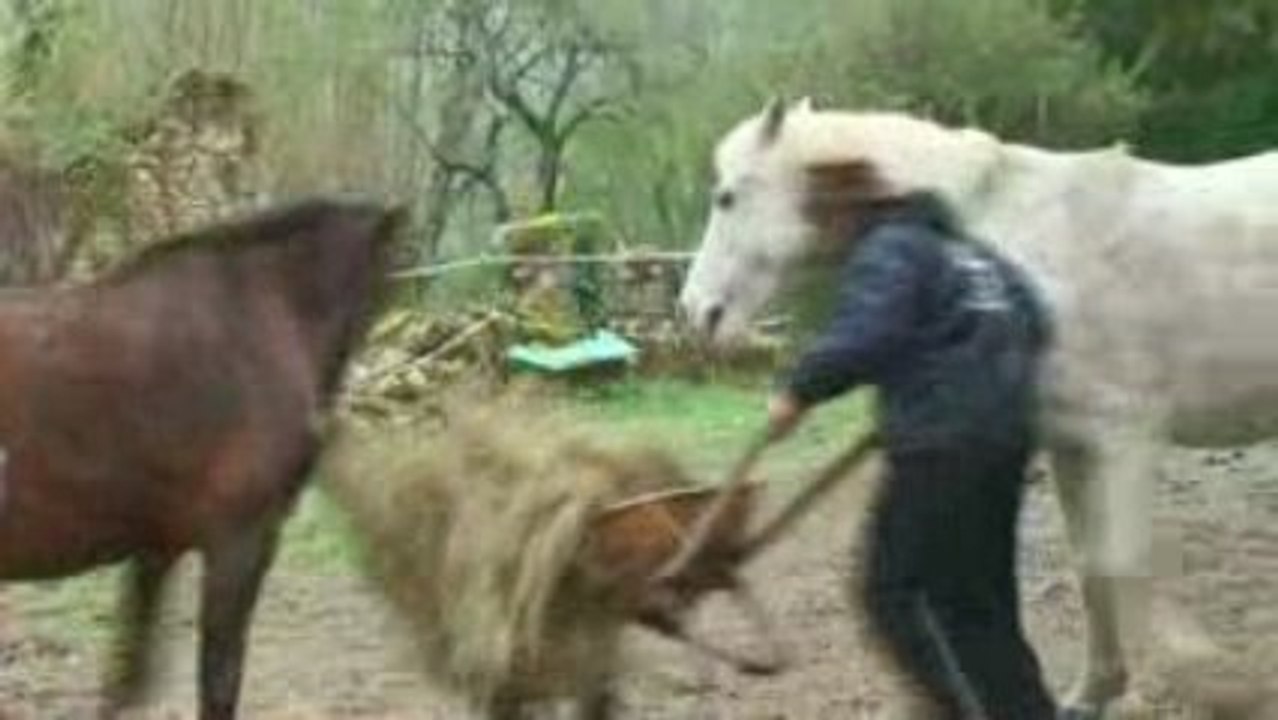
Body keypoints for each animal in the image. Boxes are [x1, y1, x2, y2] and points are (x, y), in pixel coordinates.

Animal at [677, 98, 1278, 718]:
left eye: (726, 197)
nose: (696, 312)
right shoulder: (1072, 444)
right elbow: (1090, 565)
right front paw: (1095, 689)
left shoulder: (1125, 437)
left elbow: (1123, 562)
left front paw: (1213, 680)